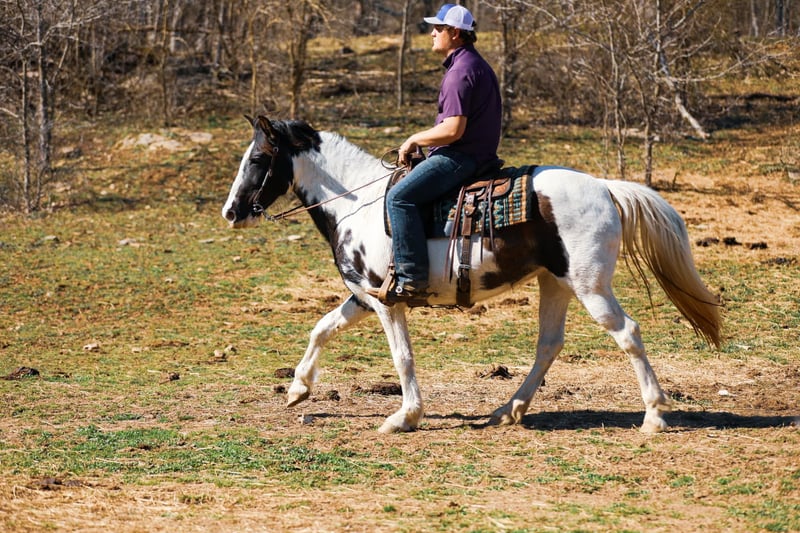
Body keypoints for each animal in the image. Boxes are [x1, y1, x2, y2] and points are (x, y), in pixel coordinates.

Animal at [221, 116, 722, 434]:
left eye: (258, 160)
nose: (230, 212)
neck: (356, 204)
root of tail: (604, 187)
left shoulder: (386, 302)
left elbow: (402, 357)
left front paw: (404, 417)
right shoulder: (365, 296)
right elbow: (322, 328)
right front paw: (297, 389)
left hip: (590, 286)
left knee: (628, 333)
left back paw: (654, 416)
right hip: (555, 283)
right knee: (549, 344)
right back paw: (507, 409)